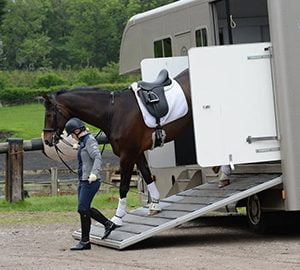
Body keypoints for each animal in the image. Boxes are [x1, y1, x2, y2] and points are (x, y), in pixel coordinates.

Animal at [42, 69, 192, 226]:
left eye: (49, 114)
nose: (47, 140)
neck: (113, 113)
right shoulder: (137, 153)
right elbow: (147, 174)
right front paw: (155, 205)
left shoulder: (127, 155)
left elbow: (124, 186)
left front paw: (118, 217)